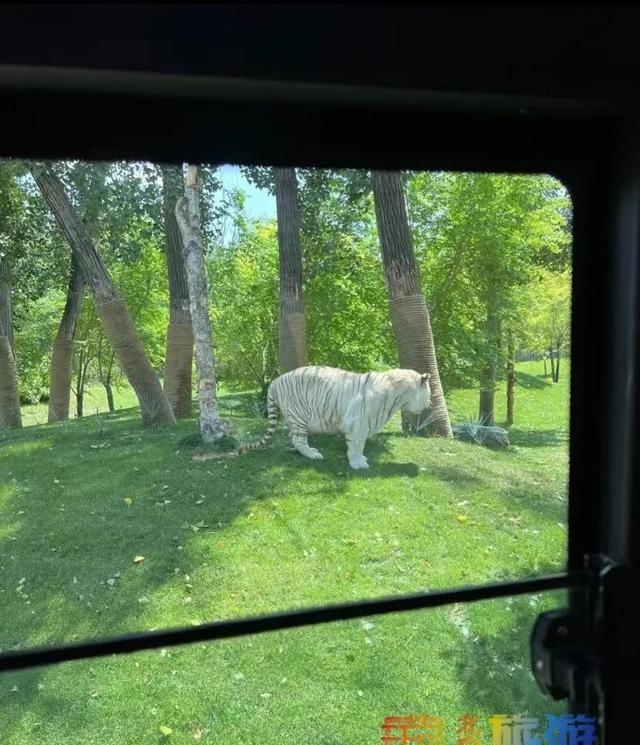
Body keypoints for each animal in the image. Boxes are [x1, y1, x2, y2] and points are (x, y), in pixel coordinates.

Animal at [200, 368, 430, 470]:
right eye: (429, 393)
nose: (429, 406)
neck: (397, 399)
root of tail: (274, 382)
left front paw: (361, 460)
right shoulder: (357, 425)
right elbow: (357, 446)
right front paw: (358, 464)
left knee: (293, 438)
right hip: (299, 415)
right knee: (298, 439)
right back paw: (313, 454)